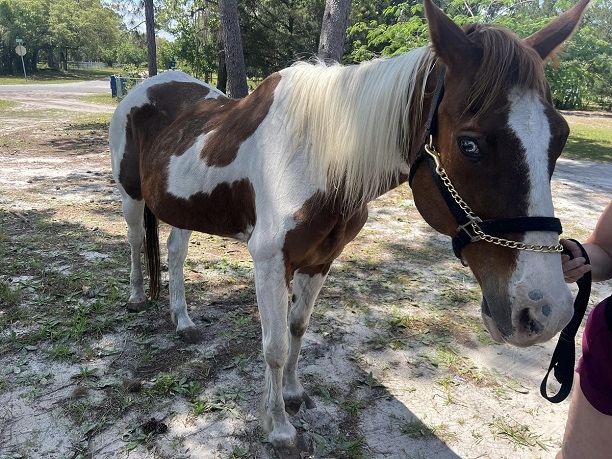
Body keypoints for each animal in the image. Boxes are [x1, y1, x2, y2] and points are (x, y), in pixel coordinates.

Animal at [110, 0, 592, 456]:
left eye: (561, 136)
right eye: (469, 144)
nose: (545, 313)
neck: (316, 156)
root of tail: (147, 86)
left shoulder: (319, 260)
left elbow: (297, 328)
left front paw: (293, 394)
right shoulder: (270, 261)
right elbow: (274, 346)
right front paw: (279, 429)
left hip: (183, 210)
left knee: (175, 254)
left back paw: (183, 321)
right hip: (132, 198)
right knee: (135, 242)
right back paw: (135, 298)